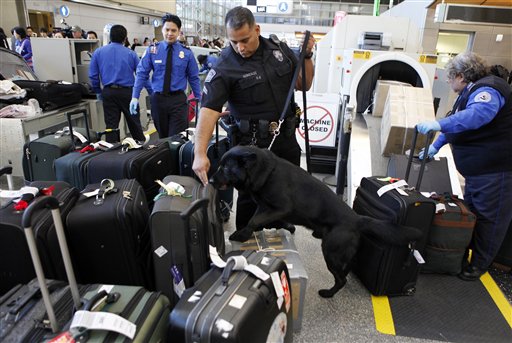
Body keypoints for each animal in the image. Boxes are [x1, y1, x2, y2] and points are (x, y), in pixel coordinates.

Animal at [210, 145, 422, 298]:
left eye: (225, 167)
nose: (210, 180)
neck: (266, 172)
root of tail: (356, 219)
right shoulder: (266, 207)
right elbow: (258, 218)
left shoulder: (280, 208)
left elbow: (255, 220)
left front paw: (242, 234)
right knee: (346, 270)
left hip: (331, 253)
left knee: (341, 279)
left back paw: (328, 294)